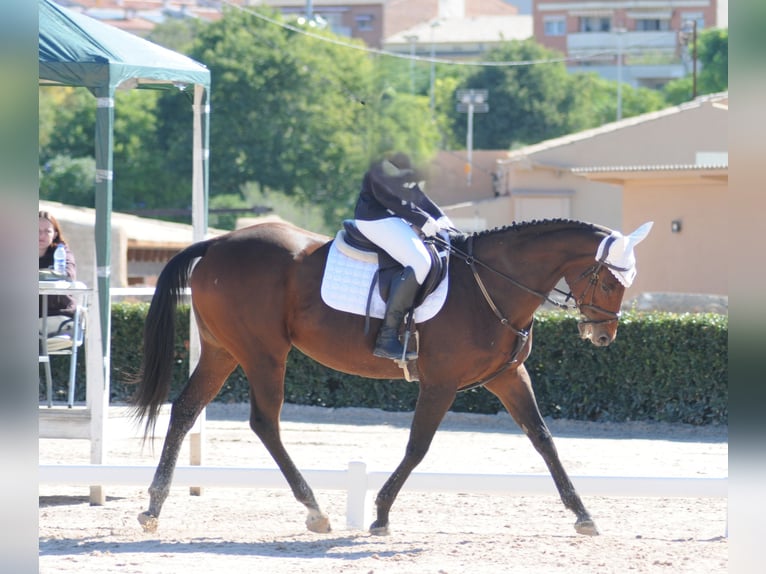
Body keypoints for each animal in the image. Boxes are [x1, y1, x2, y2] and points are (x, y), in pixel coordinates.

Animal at [132, 218, 656, 536]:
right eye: (610, 280)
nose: (602, 336)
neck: (492, 284)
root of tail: (216, 244)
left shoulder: (509, 377)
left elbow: (543, 439)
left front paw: (583, 514)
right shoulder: (441, 382)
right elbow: (418, 446)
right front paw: (381, 513)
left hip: (223, 350)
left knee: (185, 410)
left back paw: (154, 507)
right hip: (263, 353)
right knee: (264, 423)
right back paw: (315, 510)